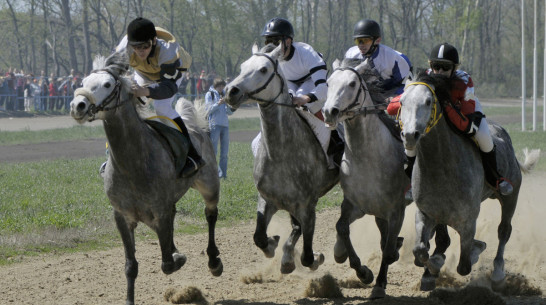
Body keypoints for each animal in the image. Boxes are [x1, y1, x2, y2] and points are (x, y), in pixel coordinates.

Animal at [69, 52, 222, 304]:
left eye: (107, 84)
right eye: (84, 82)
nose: (77, 105)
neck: (132, 165)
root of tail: (195, 127)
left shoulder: (159, 211)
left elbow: (167, 264)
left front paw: (178, 257)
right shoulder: (123, 216)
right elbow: (131, 265)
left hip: (209, 185)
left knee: (210, 215)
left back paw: (214, 261)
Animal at [223, 44, 338, 272]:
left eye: (264, 69)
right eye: (242, 66)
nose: (231, 91)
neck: (281, 153)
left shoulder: (307, 206)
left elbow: (308, 256)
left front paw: (314, 257)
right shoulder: (268, 199)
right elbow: (259, 236)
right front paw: (274, 245)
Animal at [324, 58, 446, 298]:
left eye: (352, 83)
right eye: (329, 82)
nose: (329, 112)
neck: (367, 158)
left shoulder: (396, 210)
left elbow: (388, 250)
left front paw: (379, 285)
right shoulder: (355, 205)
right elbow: (342, 228)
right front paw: (363, 272)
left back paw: (429, 270)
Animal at [398, 72, 536, 288]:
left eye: (428, 101)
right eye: (402, 101)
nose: (410, 135)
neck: (440, 167)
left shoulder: (468, 220)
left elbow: (464, 264)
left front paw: (469, 253)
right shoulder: (427, 213)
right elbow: (421, 250)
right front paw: (432, 268)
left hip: (511, 196)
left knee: (504, 230)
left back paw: (498, 271)